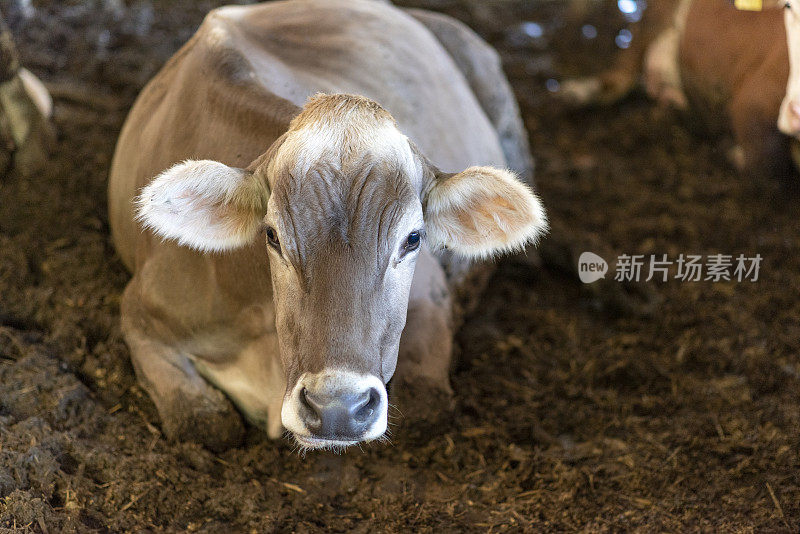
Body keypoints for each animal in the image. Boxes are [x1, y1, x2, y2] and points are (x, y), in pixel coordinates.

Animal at [109, 0, 548, 452]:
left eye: (413, 239)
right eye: (272, 236)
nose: (338, 407)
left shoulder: (429, 295)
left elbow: (427, 408)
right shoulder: (140, 309)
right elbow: (202, 423)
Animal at [564, 0, 800, 180]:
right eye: (788, 6)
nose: (795, 111)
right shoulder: (753, 103)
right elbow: (766, 166)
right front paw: (732, 151)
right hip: (656, 17)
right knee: (621, 75)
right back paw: (577, 93)